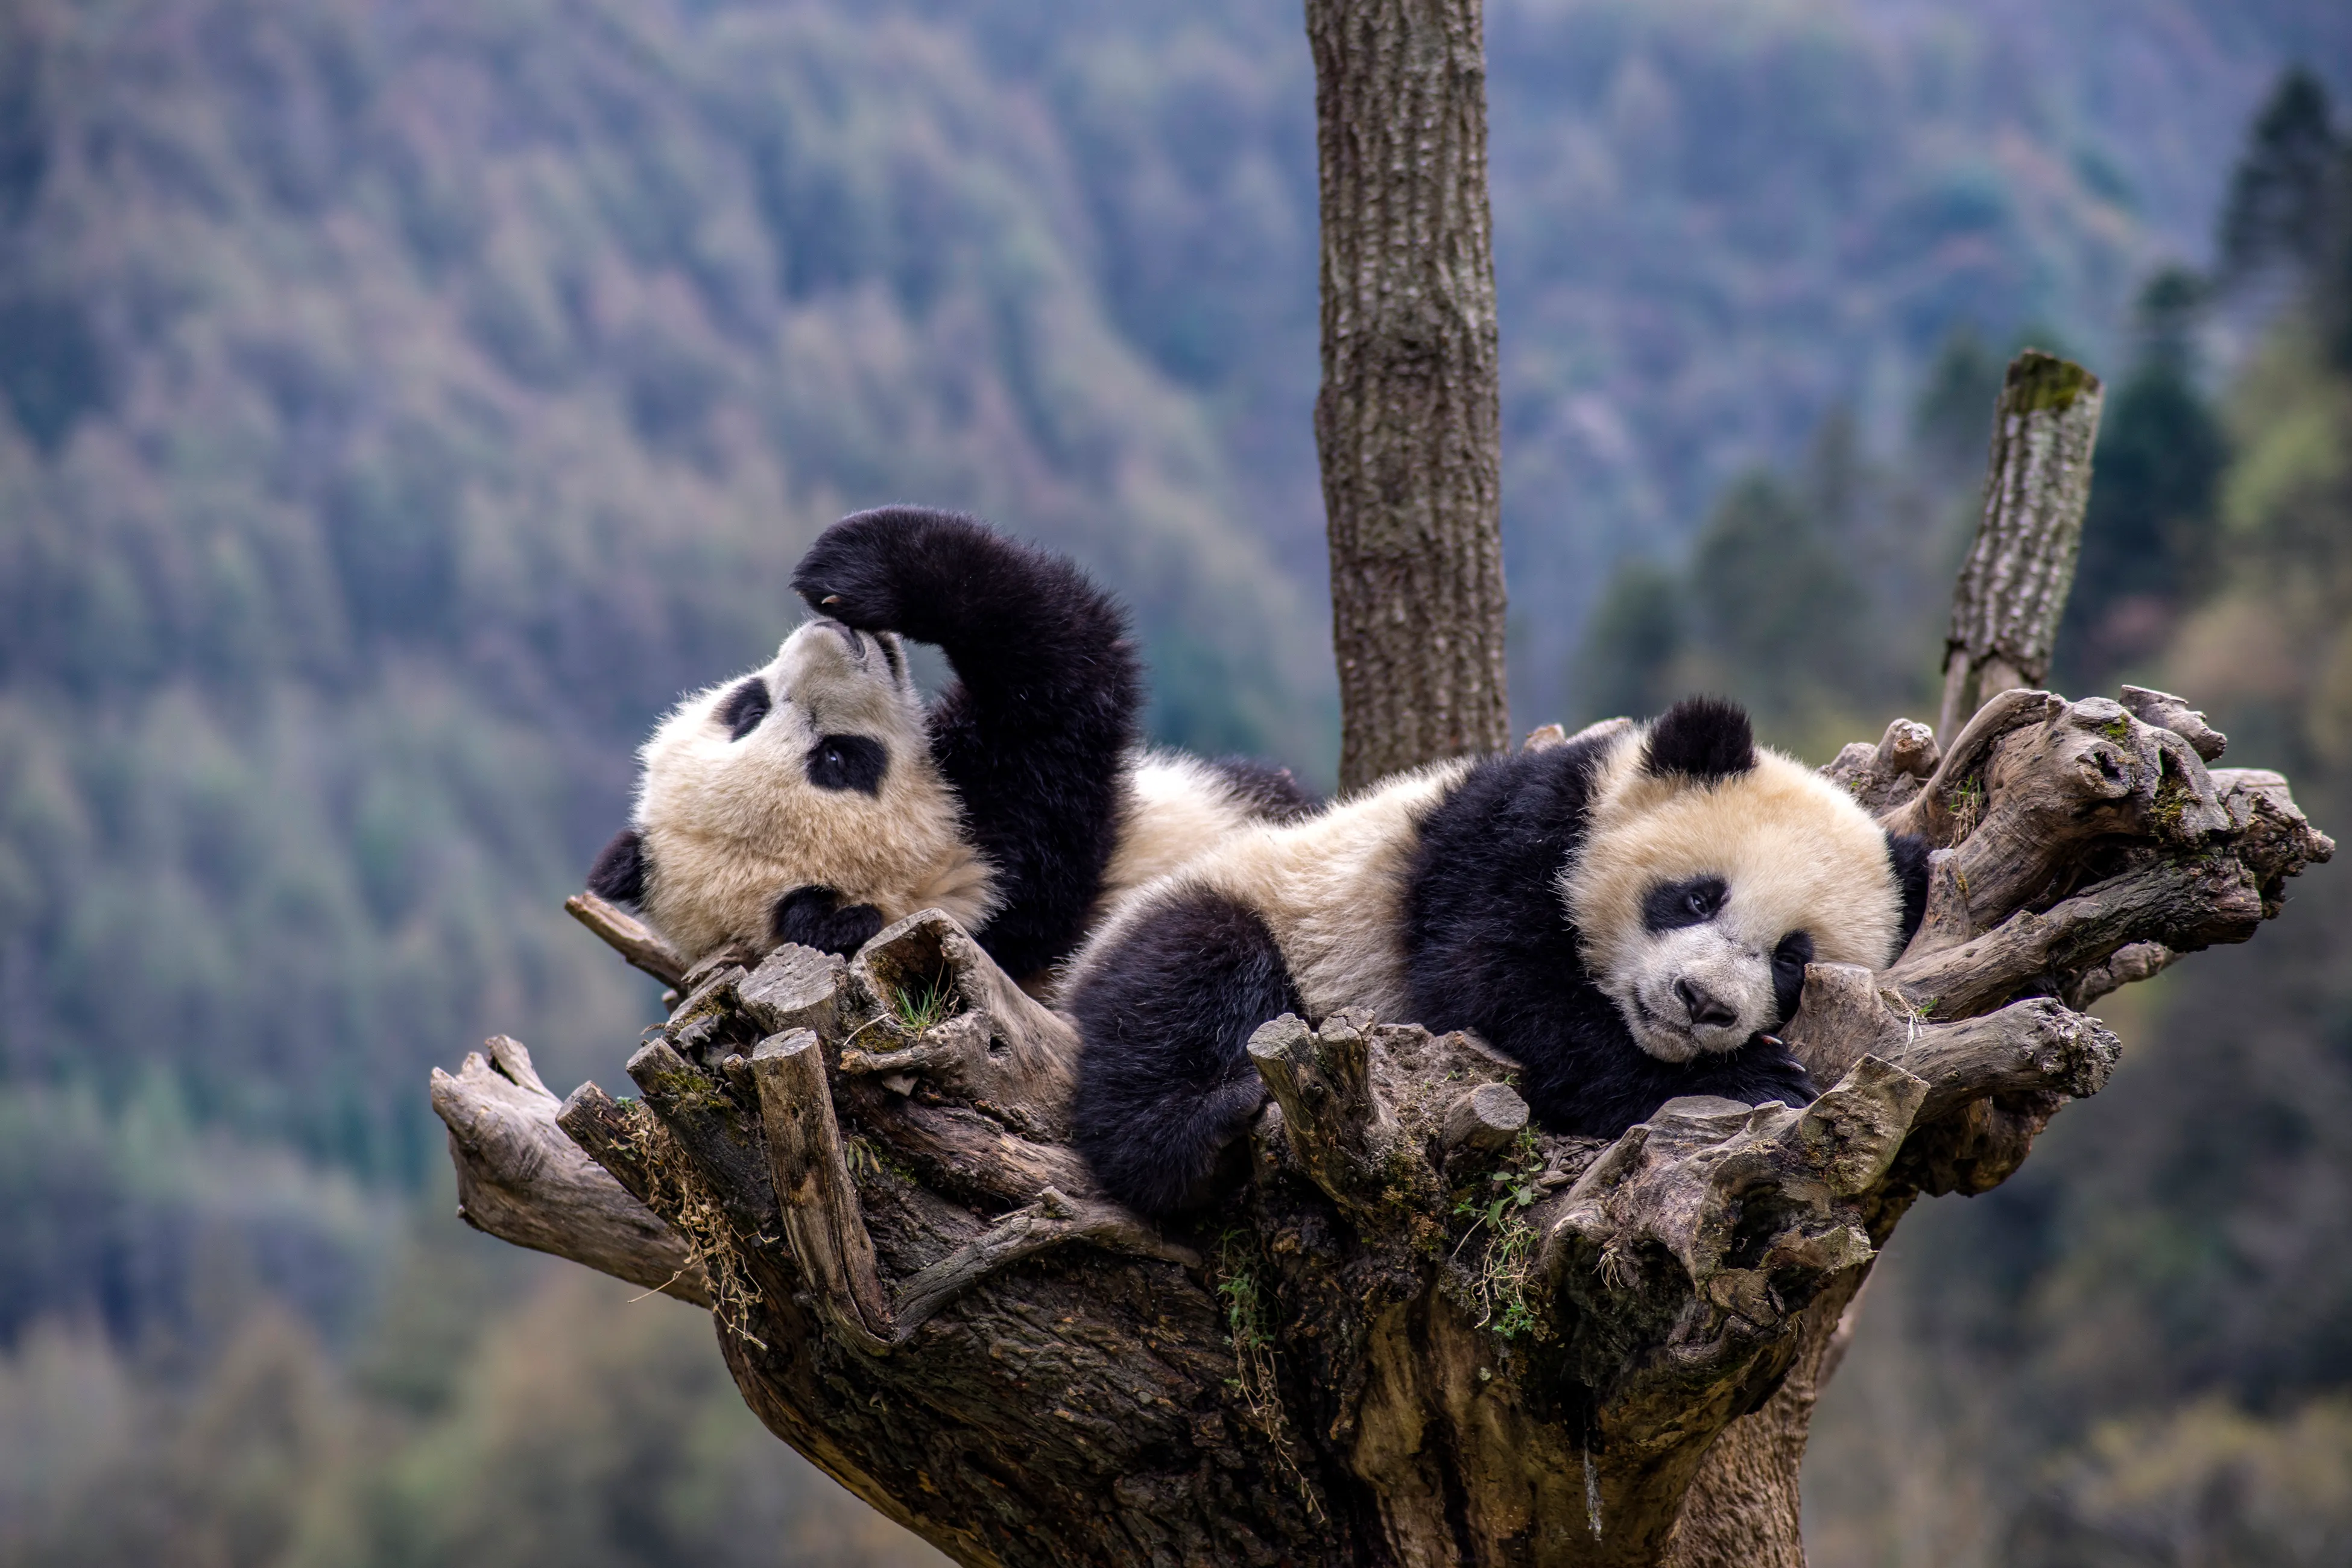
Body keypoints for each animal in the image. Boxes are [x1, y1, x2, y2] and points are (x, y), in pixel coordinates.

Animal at [586, 506, 1314, 983]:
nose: (829, 641)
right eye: (838, 760)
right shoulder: (1028, 845)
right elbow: (1060, 669)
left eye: (746, 712)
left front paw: (848, 570)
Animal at [1064, 696, 1933, 1217]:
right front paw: (1757, 1078)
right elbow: (1493, 991)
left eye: (1791, 960)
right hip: (1258, 908)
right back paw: (1197, 1130)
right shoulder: (1502, 844)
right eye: (1697, 897)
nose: (1702, 1002)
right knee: (1184, 986)